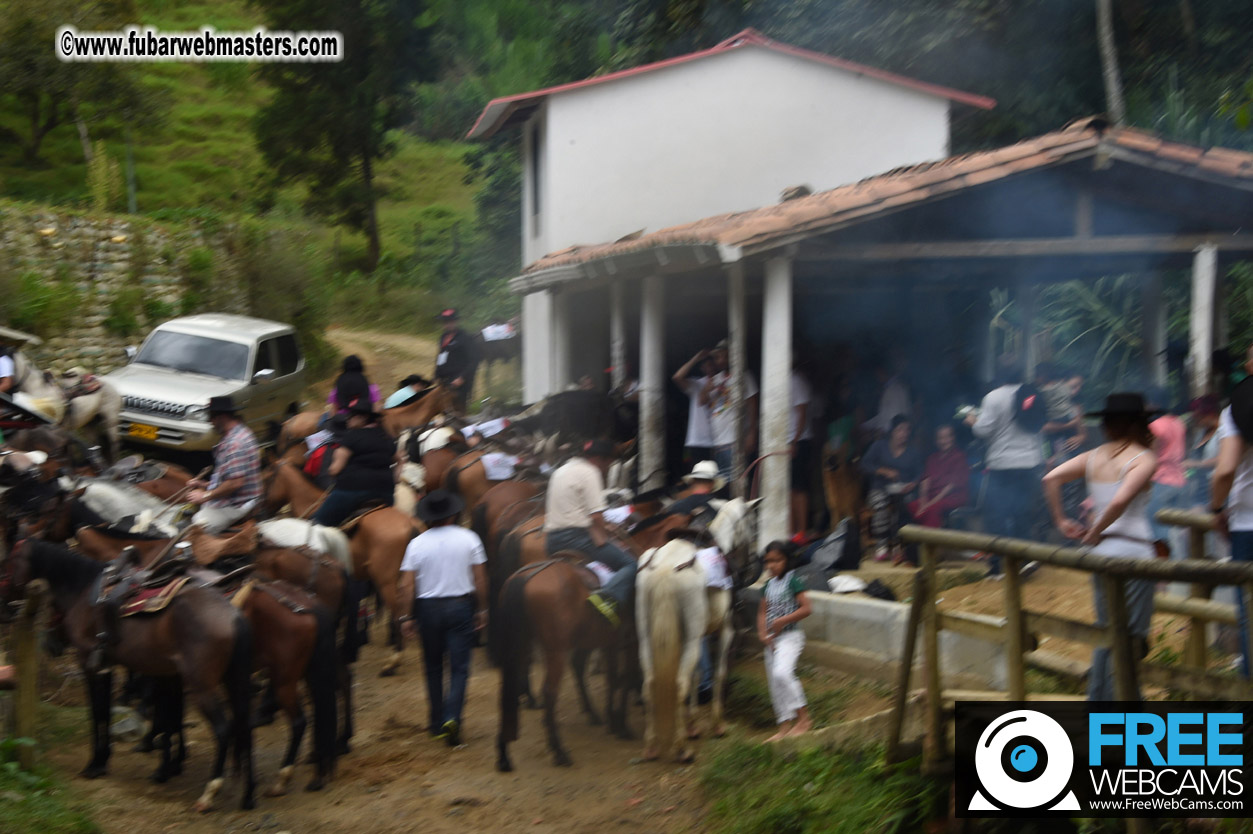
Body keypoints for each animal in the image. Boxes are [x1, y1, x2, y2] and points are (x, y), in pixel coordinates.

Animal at [0, 535, 256, 806]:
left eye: (8, 564)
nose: (4, 607)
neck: (82, 592)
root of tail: (234, 615)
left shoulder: (90, 664)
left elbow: (98, 713)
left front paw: (95, 764)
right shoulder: (110, 667)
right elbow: (113, 712)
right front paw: (108, 760)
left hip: (202, 685)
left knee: (222, 729)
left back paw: (210, 790)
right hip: (234, 680)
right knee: (244, 725)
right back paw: (248, 794)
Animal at [493, 556, 636, 771]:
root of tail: (524, 577)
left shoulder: (598, 642)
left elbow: (597, 673)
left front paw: (600, 715)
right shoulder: (625, 642)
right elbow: (621, 679)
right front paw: (619, 724)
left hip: (521, 645)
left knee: (510, 689)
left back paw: (504, 755)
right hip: (556, 650)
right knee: (549, 692)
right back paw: (559, 751)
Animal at [641, 493, 756, 761]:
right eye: (753, 523)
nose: (750, 563)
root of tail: (664, 569)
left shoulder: (699, 636)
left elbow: (695, 676)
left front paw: (692, 724)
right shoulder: (725, 630)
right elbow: (718, 673)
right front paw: (717, 724)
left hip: (647, 637)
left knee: (649, 683)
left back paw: (652, 746)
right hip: (690, 638)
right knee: (680, 682)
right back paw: (682, 749)